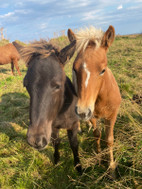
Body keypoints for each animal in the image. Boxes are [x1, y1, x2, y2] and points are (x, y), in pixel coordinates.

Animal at [22, 39, 81, 173]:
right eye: (25, 84)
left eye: (58, 85)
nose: (35, 141)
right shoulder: (52, 127)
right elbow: (56, 142)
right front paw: (56, 160)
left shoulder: (73, 125)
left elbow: (74, 144)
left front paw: (79, 166)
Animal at [67, 25, 121, 176]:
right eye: (74, 68)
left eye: (103, 70)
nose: (82, 112)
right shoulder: (92, 115)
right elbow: (97, 134)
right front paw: (99, 157)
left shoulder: (112, 115)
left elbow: (109, 140)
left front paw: (111, 168)